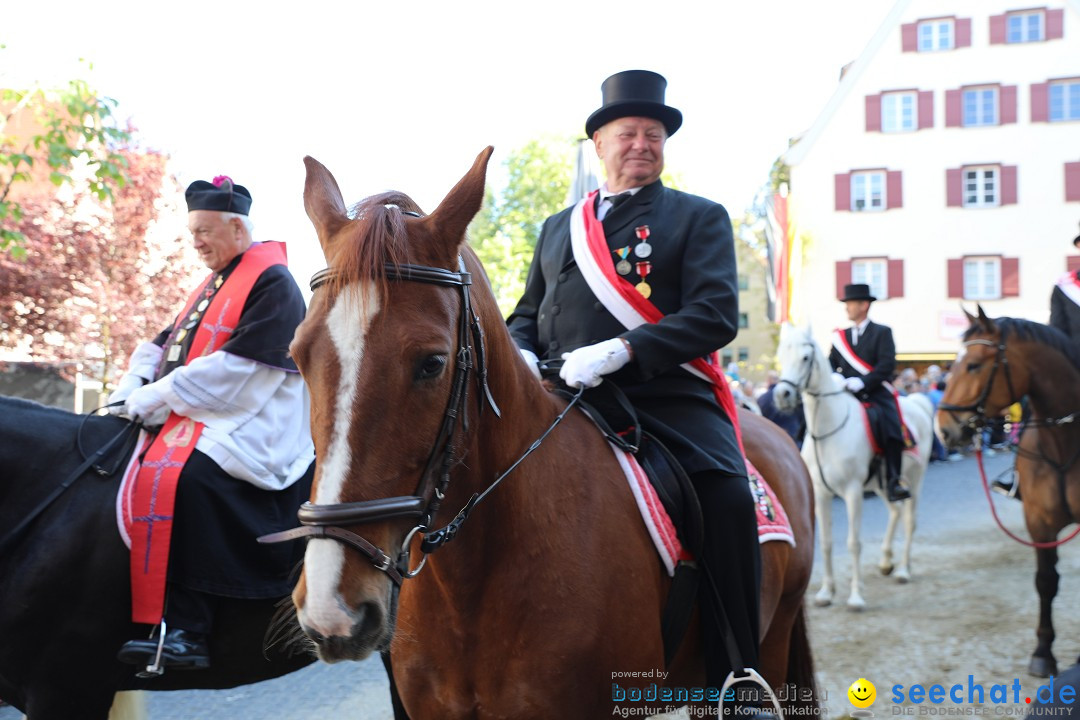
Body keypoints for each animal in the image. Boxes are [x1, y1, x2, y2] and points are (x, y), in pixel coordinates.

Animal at [773, 323, 933, 613]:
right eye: (781, 355)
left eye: (805, 357)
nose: (782, 395)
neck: (827, 429)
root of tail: (919, 402)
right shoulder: (821, 494)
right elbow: (825, 543)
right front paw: (826, 592)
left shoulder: (853, 492)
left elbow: (853, 543)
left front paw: (856, 597)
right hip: (882, 484)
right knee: (895, 511)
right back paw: (886, 561)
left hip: (914, 480)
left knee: (909, 520)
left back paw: (903, 570)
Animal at [937, 306, 1080, 677]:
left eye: (973, 365)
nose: (943, 430)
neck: (1065, 444)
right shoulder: (1039, 523)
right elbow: (1046, 581)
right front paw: (1043, 652)